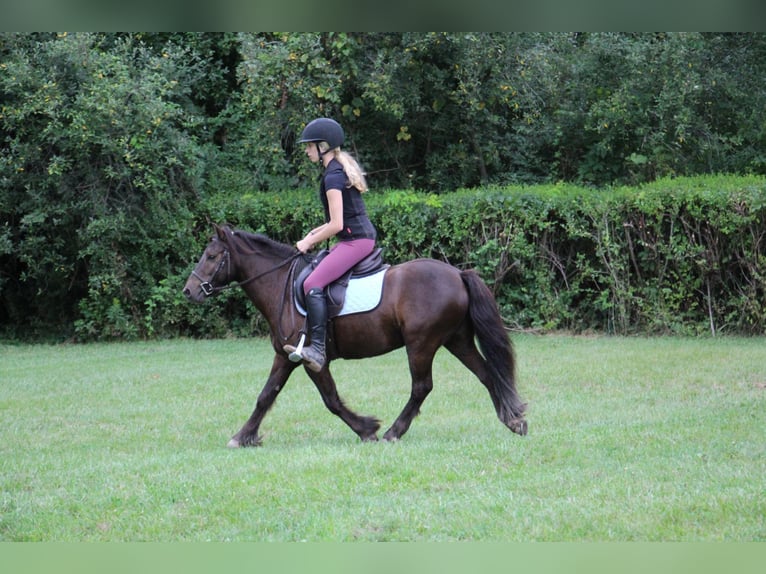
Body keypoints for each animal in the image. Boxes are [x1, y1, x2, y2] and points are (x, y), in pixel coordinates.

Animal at [182, 225, 528, 450]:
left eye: (211, 256)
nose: (189, 291)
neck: (281, 284)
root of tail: (457, 273)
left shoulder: (312, 361)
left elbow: (331, 400)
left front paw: (367, 429)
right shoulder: (285, 356)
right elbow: (266, 395)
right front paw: (243, 436)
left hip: (421, 344)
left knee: (422, 387)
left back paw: (393, 432)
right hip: (456, 340)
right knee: (487, 374)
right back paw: (513, 420)